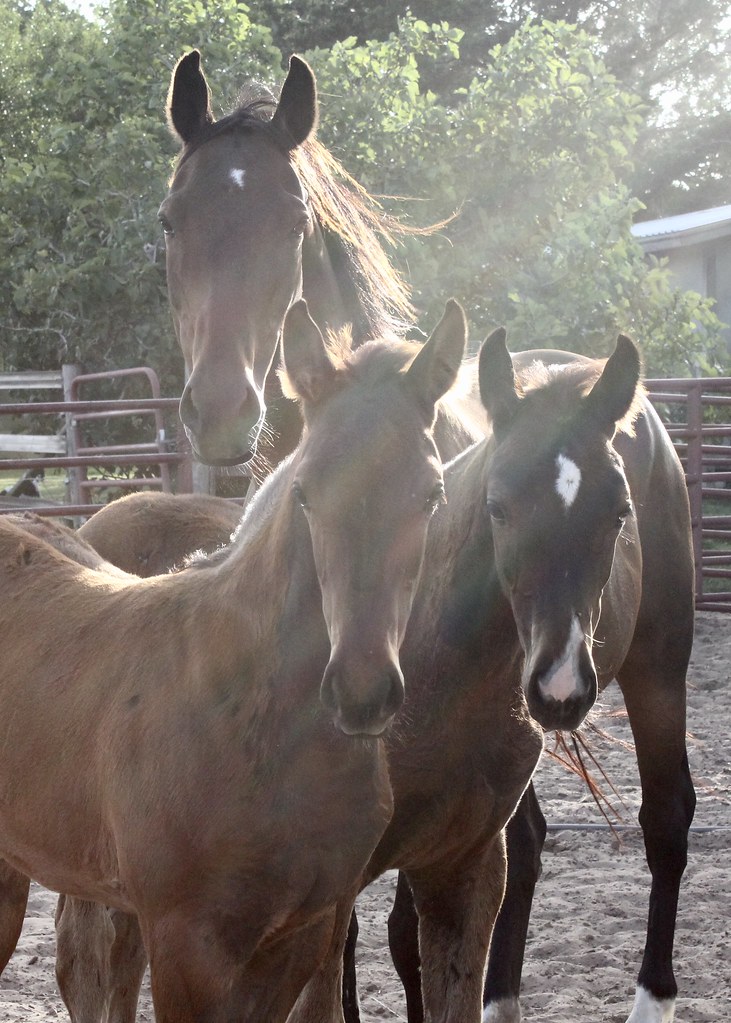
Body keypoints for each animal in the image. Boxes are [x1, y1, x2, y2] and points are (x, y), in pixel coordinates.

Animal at [367, 336, 696, 1023]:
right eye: (498, 507)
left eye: (619, 512)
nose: (562, 686)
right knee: (527, 842)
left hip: (658, 667)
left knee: (667, 818)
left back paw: (652, 998)